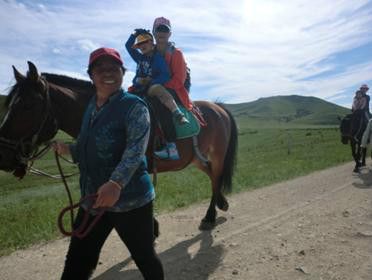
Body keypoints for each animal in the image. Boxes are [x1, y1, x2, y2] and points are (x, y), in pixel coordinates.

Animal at [0, 61, 238, 230]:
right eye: (9, 104)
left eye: (27, 105)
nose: (5, 156)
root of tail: (219, 108)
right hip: (196, 158)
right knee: (212, 175)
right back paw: (221, 204)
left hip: (217, 155)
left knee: (216, 176)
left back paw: (210, 216)